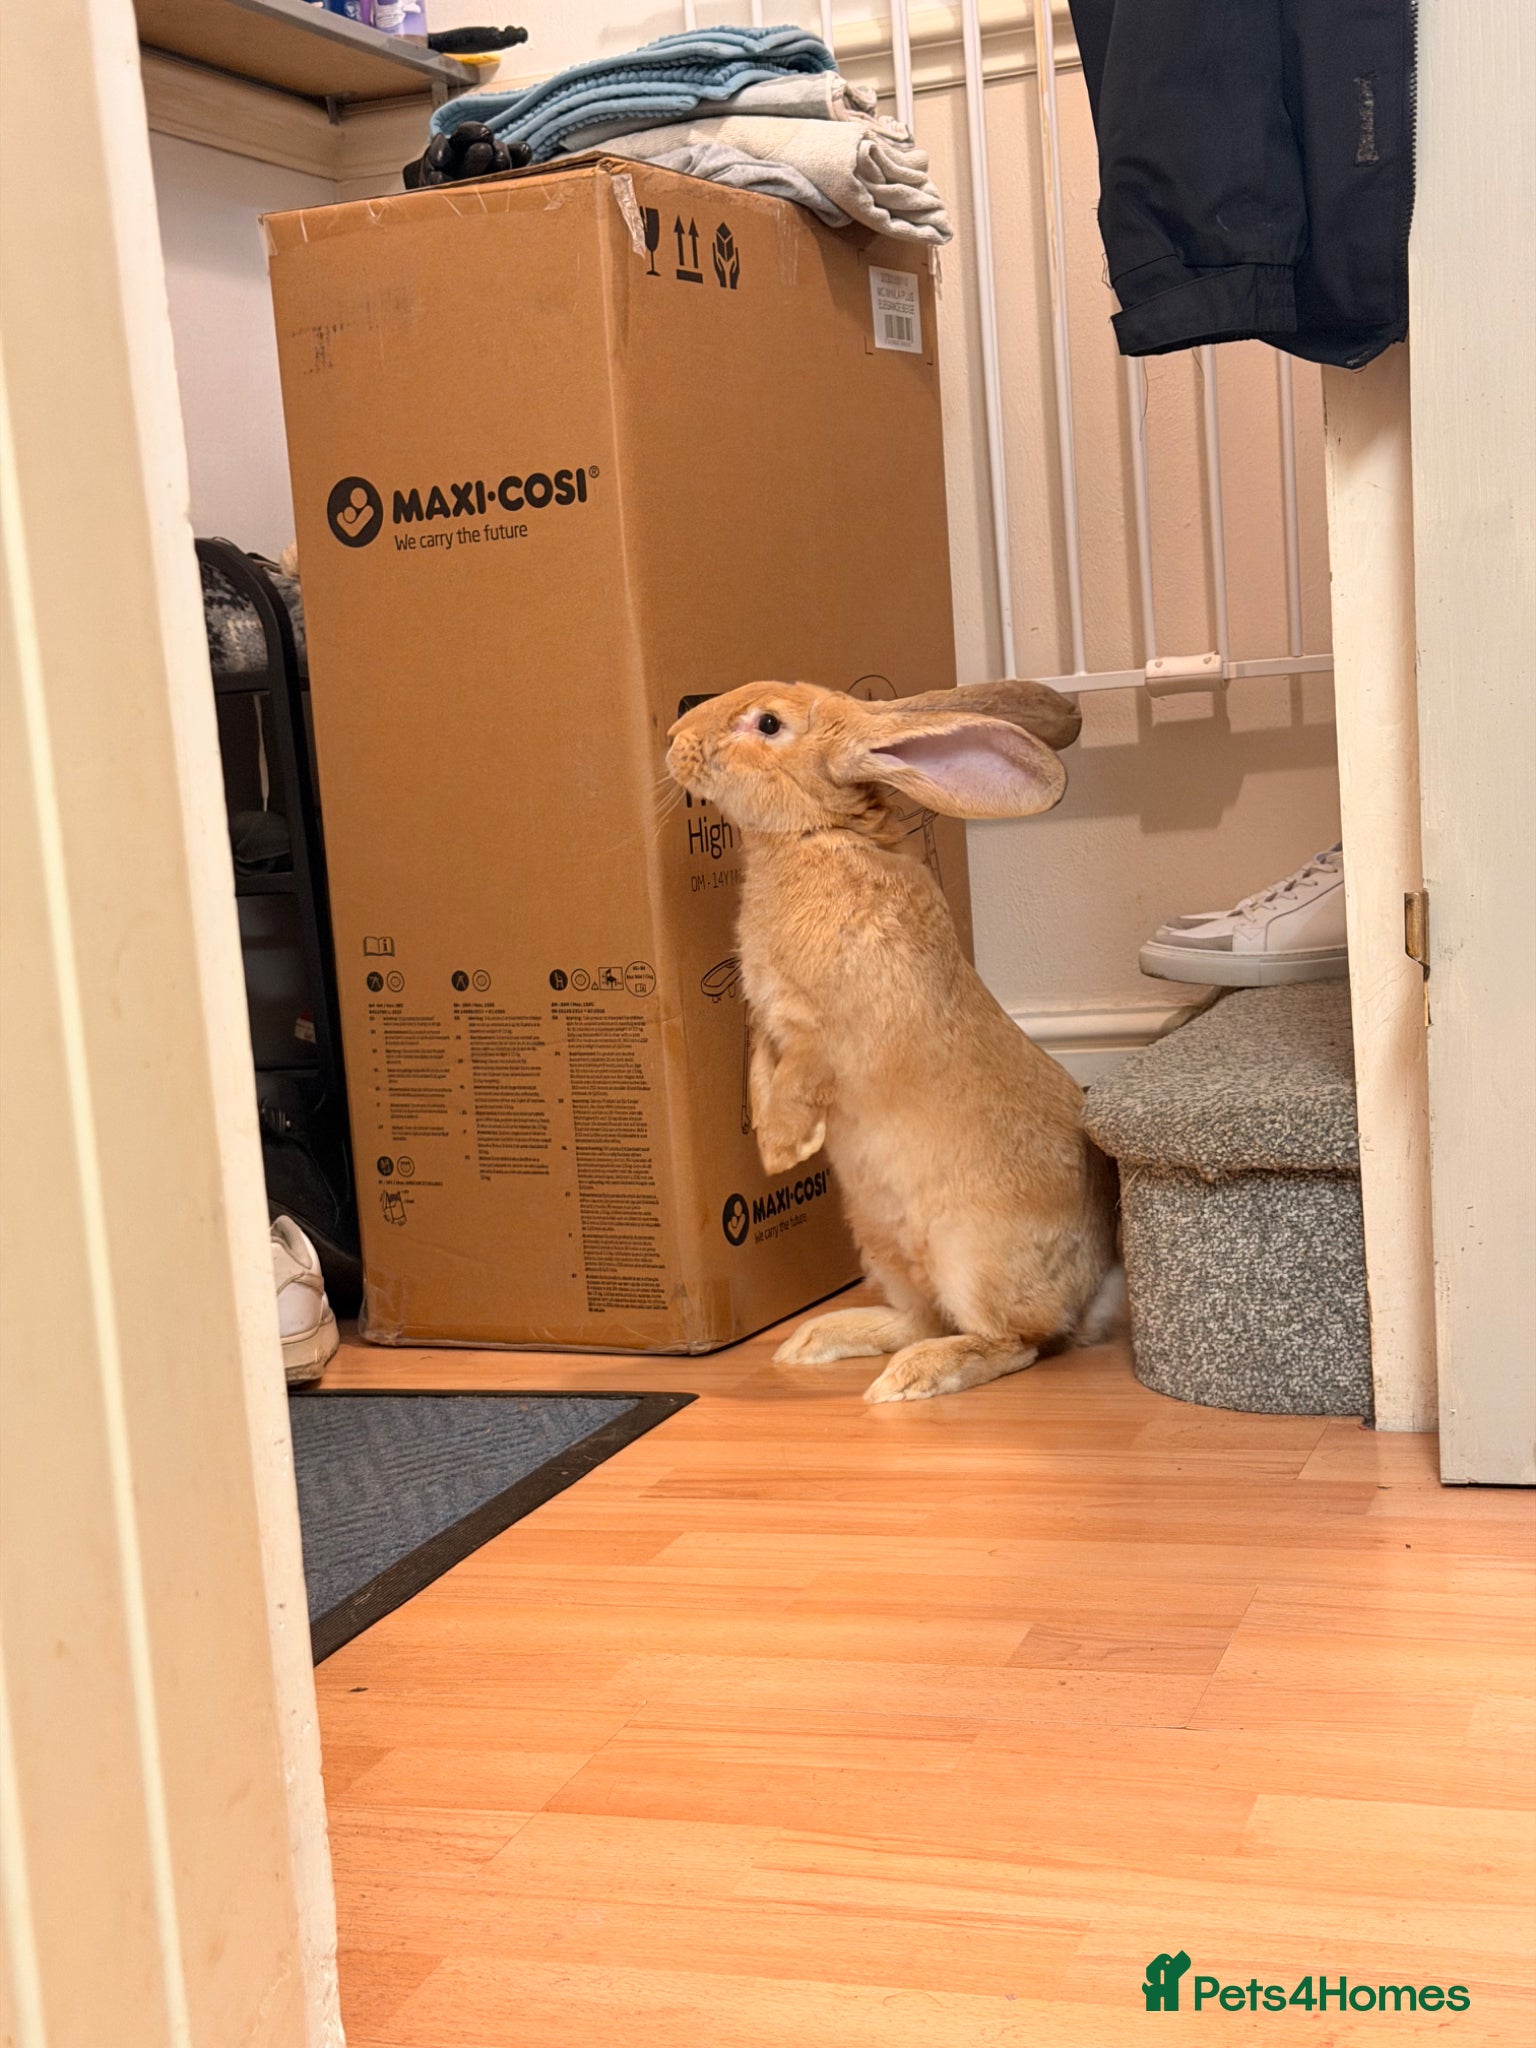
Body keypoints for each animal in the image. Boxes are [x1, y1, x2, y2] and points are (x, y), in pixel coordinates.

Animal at [666, 678, 1121, 1403]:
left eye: (768, 724)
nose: (673, 739)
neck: (815, 836)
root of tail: (1096, 1290)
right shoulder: (768, 1028)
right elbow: (763, 1081)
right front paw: (775, 1152)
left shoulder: (825, 1034)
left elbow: (798, 1081)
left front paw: (787, 1149)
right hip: (881, 1243)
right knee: (918, 1318)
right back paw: (816, 1341)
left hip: (969, 1257)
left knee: (1015, 1341)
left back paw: (911, 1379)